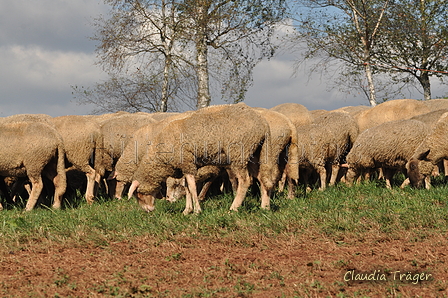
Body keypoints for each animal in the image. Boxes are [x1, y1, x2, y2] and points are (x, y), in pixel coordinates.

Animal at [114, 103, 270, 214]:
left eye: (139, 195)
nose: (149, 211)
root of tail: (263, 124)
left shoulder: (187, 163)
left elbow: (192, 187)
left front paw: (197, 210)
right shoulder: (185, 166)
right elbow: (187, 187)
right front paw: (187, 210)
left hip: (239, 153)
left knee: (245, 181)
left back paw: (234, 208)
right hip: (256, 153)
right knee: (262, 178)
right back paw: (265, 207)